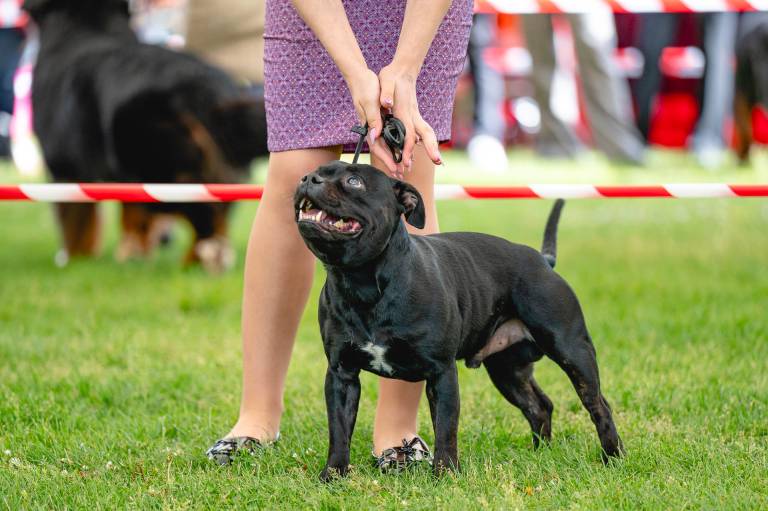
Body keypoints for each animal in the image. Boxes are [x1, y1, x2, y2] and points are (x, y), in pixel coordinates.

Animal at [25, 0, 268, 272]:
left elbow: (76, 224)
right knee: (217, 216)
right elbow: (131, 217)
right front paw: (133, 255)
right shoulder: (124, 183)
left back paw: (196, 263)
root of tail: (208, 90)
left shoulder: (65, 170)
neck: (86, 27)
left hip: (158, 167)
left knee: (205, 216)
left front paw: (76, 260)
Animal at [293, 161, 623, 479]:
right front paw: (333, 475)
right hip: (507, 370)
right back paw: (540, 454)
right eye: (317, 171)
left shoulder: (441, 373)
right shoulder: (342, 376)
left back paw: (613, 457)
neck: (362, 282)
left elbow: (445, 429)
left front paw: (446, 474)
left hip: (572, 351)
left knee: (598, 404)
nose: (307, 178)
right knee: (539, 406)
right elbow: (339, 431)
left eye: (354, 181)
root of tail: (544, 261)